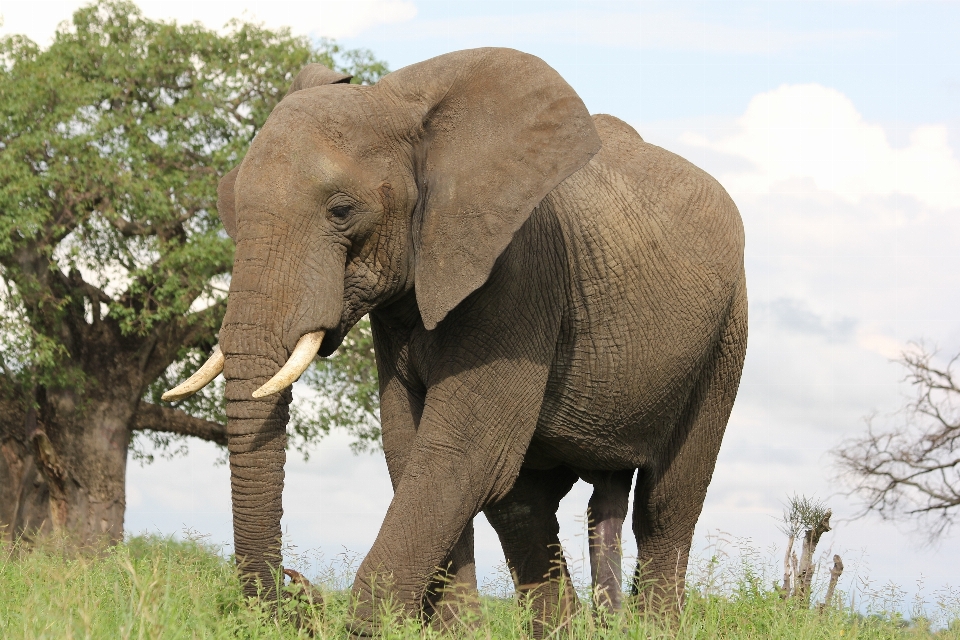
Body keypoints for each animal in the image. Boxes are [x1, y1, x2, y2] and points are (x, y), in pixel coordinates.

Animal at [165, 47, 752, 632]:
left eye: (341, 210)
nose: (292, 593)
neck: (401, 106)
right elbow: (412, 450)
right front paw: (454, 632)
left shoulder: (519, 271)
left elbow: (462, 454)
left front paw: (369, 628)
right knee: (527, 506)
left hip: (725, 336)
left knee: (666, 502)